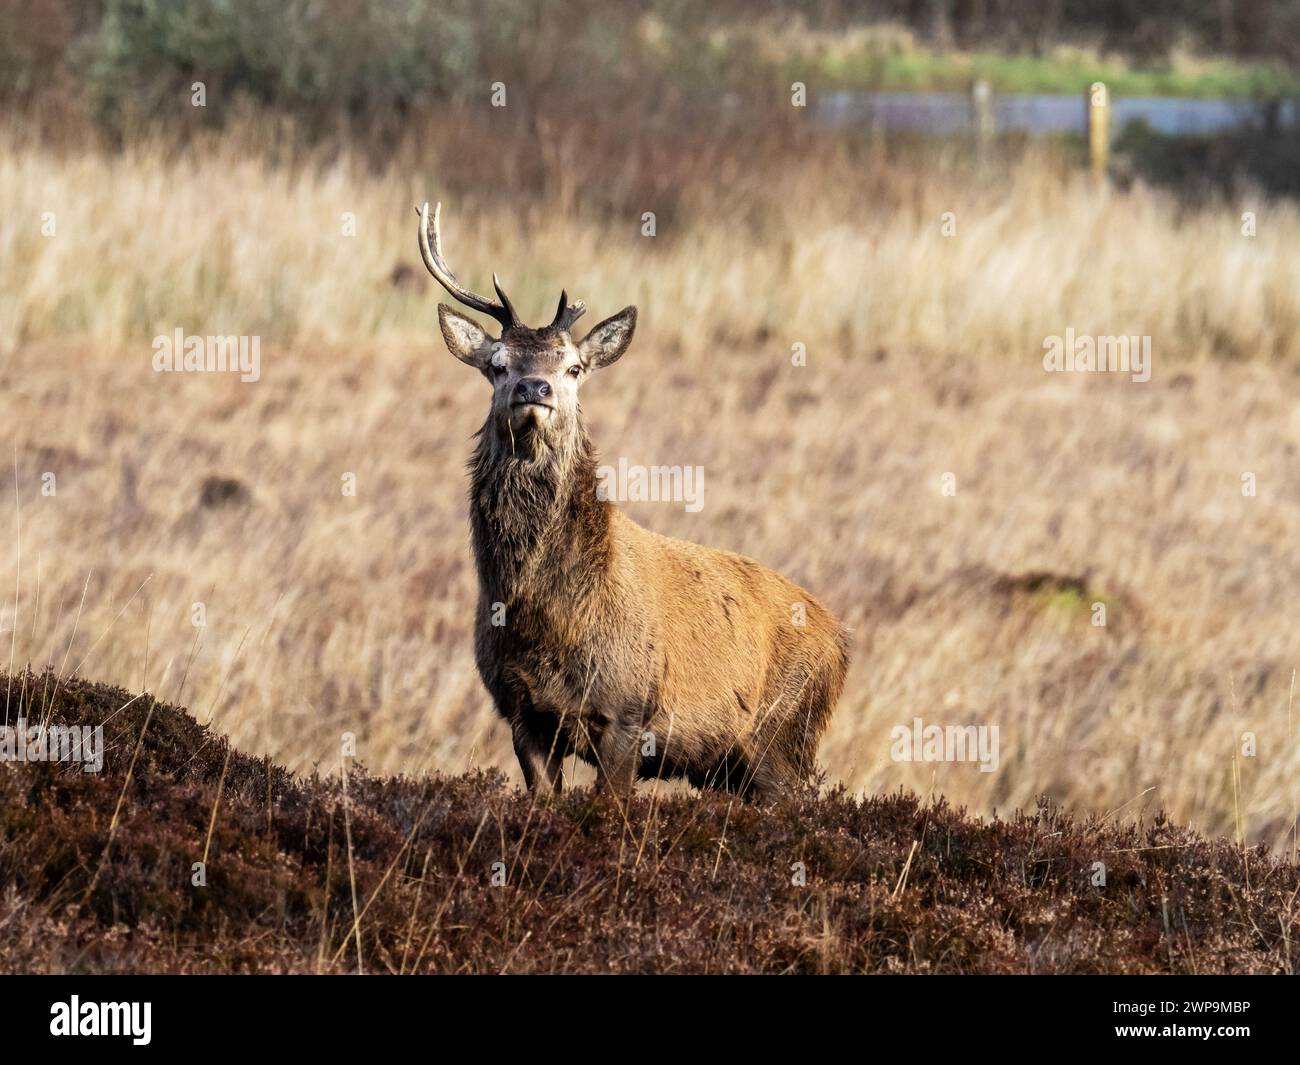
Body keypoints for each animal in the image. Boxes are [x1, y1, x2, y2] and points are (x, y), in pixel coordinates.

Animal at [417, 200, 848, 803]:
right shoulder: (522, 715)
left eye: (573, 367)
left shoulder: (628, 712)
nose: (534, 388)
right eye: (497, 364)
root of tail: (843, 640)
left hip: (785, 742)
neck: (547, 622)